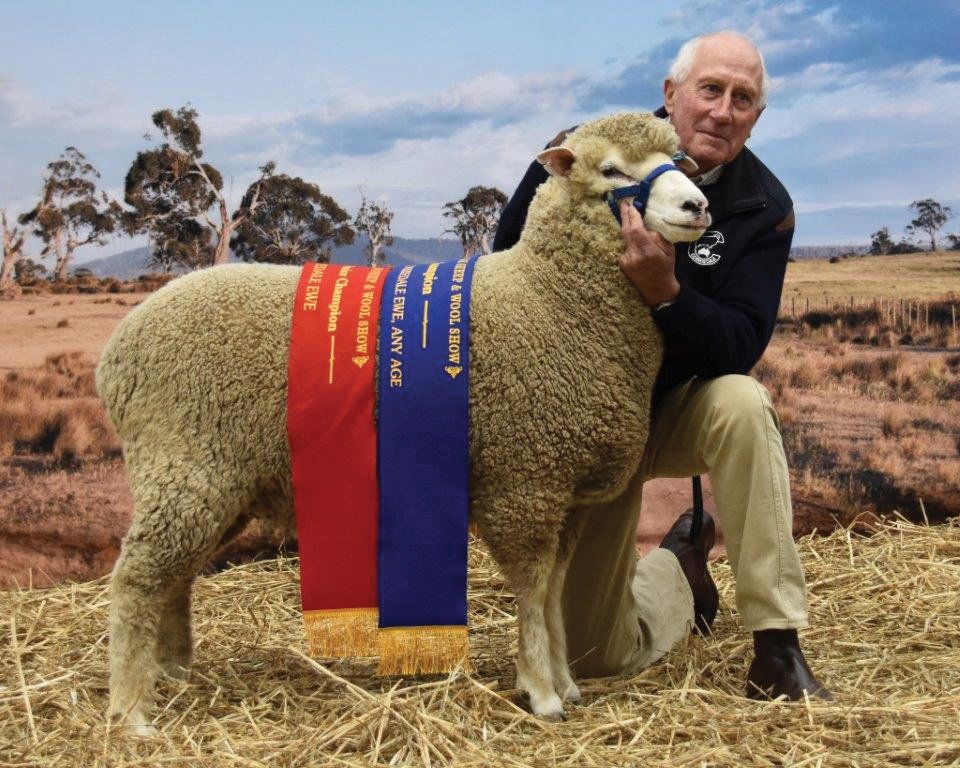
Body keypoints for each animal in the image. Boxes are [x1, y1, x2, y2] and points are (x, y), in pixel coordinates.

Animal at [96, 111, 709, 733]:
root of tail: (117, 351)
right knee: (136, 577)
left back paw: (172, 670)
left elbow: (555, 591)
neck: (550, 298)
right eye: (611, 170)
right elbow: (534, 591)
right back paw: (130, 710)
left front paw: (563, 681)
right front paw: (541, 690)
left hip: (216, 483)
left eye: (677, 160)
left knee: (173, 575)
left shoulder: (568, 493)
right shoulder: (524, 483)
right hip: (185, 464)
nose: (697, 206)